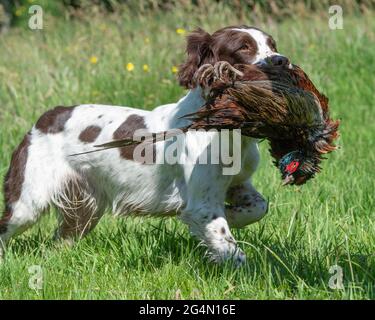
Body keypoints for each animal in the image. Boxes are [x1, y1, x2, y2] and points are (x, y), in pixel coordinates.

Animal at [0, 25, 290, 264]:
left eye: (273, 44)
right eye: (243, 47)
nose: (281, 60)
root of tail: (46, 118)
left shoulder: (237, 183)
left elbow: (259, 206)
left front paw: (233, 215)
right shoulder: (202, 202)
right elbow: (228, 244)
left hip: (84, 208)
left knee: (60, 239)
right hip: (28, 201)